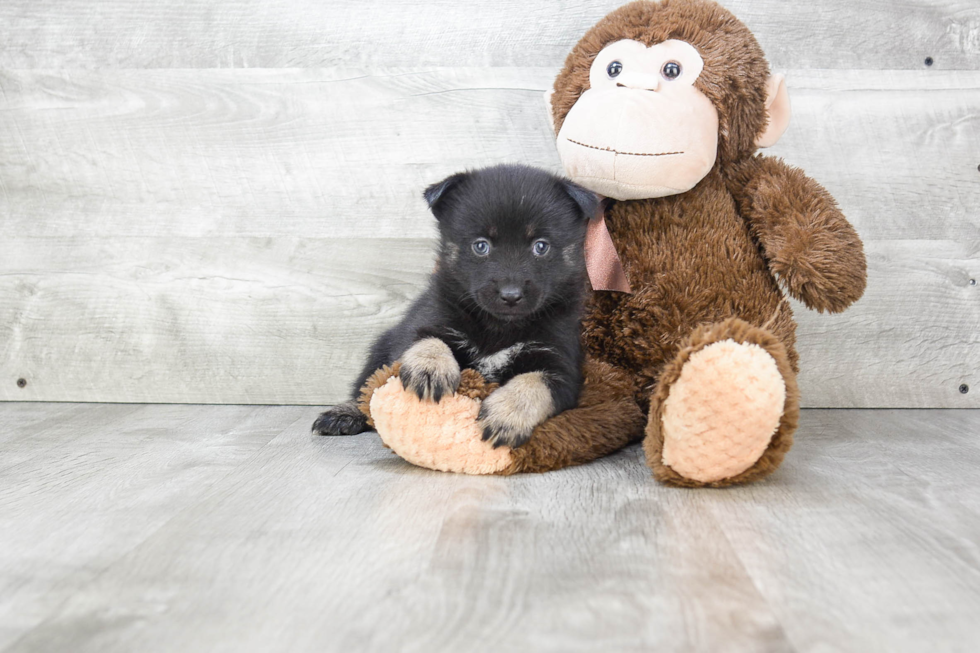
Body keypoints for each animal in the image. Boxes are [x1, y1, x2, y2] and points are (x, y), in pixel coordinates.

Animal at [314, 164, 592, 448]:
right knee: (365, 386)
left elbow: (534, 382)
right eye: (481, 246)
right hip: (381, 346)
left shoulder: (560, 363)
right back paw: (344, 413)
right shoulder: (427, 319)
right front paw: (430, 368)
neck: (499, 326)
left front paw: (507, 414)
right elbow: (427, 339)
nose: (511, 295)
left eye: (541, 246)